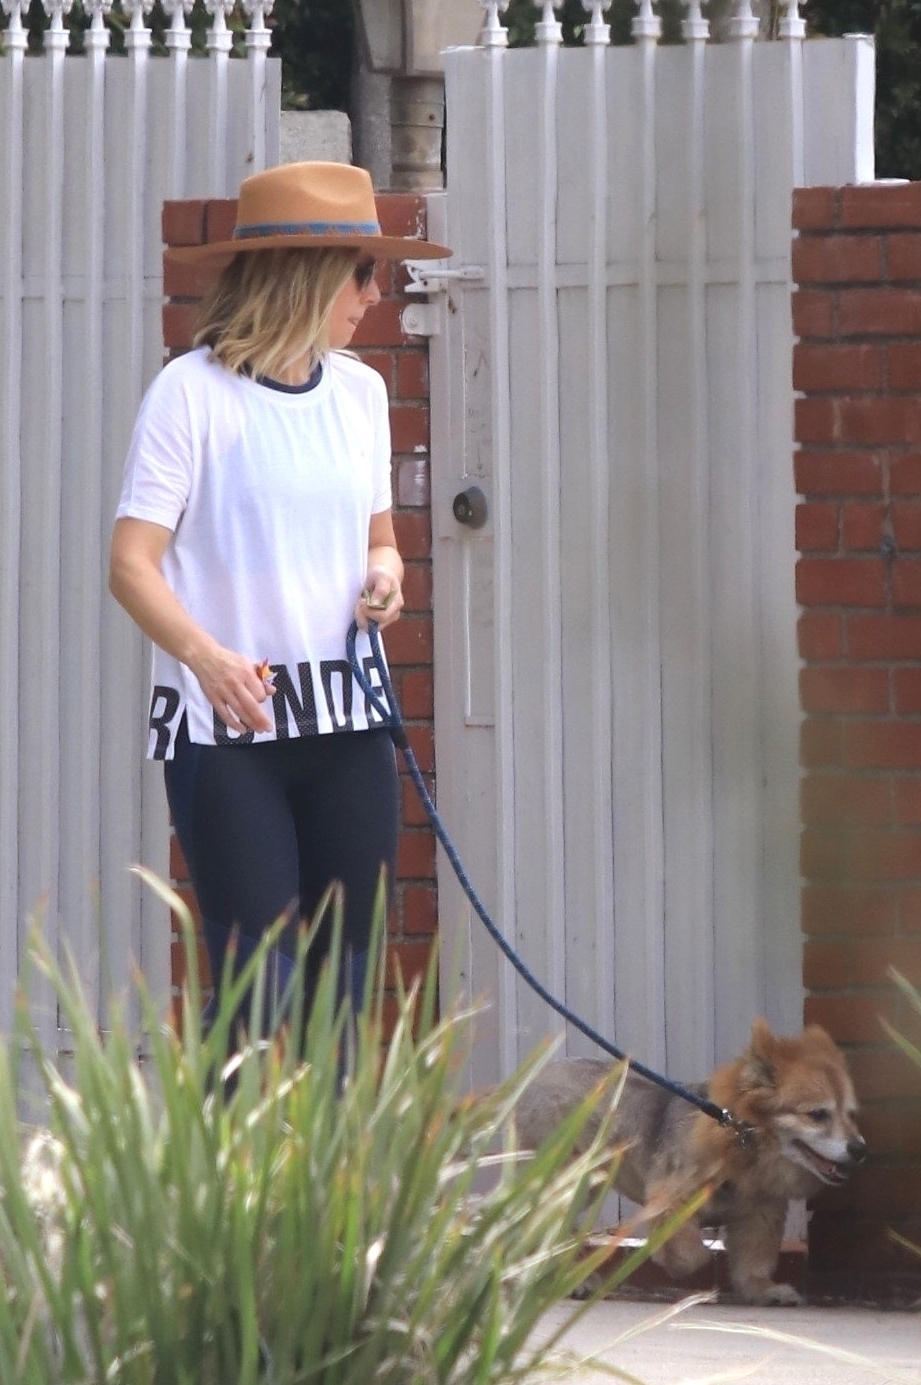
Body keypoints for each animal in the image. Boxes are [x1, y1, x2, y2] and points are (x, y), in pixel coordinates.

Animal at [512, 1019, 866, 1305]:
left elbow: (754, 1261)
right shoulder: (671, 1198)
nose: (860, 1149)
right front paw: (683, 1264)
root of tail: (531, 1081)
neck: (743, 1142)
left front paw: (761, 1290)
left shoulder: (760, 1213)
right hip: (571, 1183)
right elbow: (690, 1253)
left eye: (851, 1115)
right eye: (817, 1115)